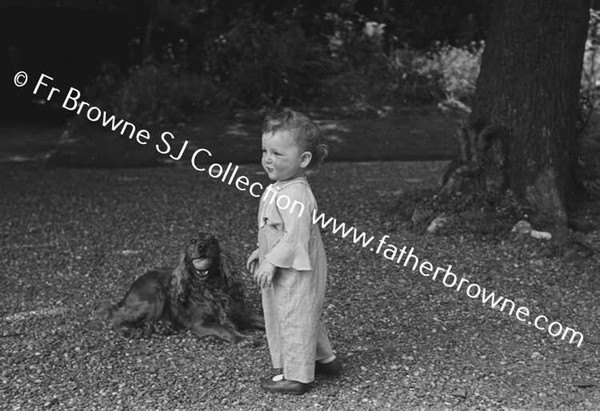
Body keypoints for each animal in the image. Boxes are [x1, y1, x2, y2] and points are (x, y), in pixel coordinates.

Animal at [106, 233, 264, 342]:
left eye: (212, 240)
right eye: (193, 241)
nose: (202, 246)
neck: (210, 286)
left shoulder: (242, 314)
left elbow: (262, 320)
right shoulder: (200, 323)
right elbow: (223, 328)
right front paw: (242, 338)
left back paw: (163, 327)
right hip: (153, 299)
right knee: (116, 316)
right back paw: (129, 331)